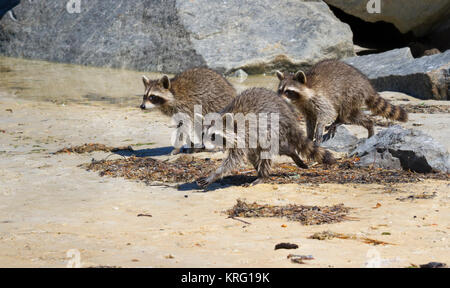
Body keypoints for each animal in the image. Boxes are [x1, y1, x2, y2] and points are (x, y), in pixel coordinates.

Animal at [195, 88, 336, 189]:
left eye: (213, 136)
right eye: (202, 134)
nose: (202, 146)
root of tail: (288, 115)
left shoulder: (244, 134)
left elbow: (233, 160)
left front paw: (215, 174)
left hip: (273, 128)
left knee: (266, 151)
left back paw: (263, 175)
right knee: (269, 150)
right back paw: (289, 155)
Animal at [276, 59, 410, 144]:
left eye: (288, 91)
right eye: (280, 90)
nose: (278, 98)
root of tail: (367, 85)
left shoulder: (319, 98)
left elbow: (327, 112)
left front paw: (320, 126)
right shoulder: (305, 107)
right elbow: (310, 119)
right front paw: (309, 135)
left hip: (352, 92)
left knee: (346, 110)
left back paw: (340, 120)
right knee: (355, 116)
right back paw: (369, 124)